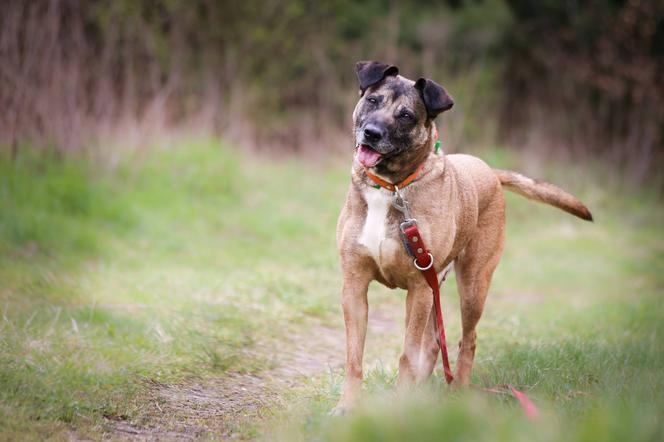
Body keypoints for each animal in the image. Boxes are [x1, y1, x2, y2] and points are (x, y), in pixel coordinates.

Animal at [332, 60, 592, 412]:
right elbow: (354, 357)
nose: (371, 133)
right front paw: (347, 406)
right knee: (434, 344)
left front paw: (400, 408)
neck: (391, 188)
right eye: (373, 100)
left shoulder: (417, 289)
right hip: (436, 288)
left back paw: (459, 393)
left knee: (467, 340)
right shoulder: (355, 286)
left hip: (471, 285)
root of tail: (490, 171)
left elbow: (406, 355)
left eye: (406, 116)